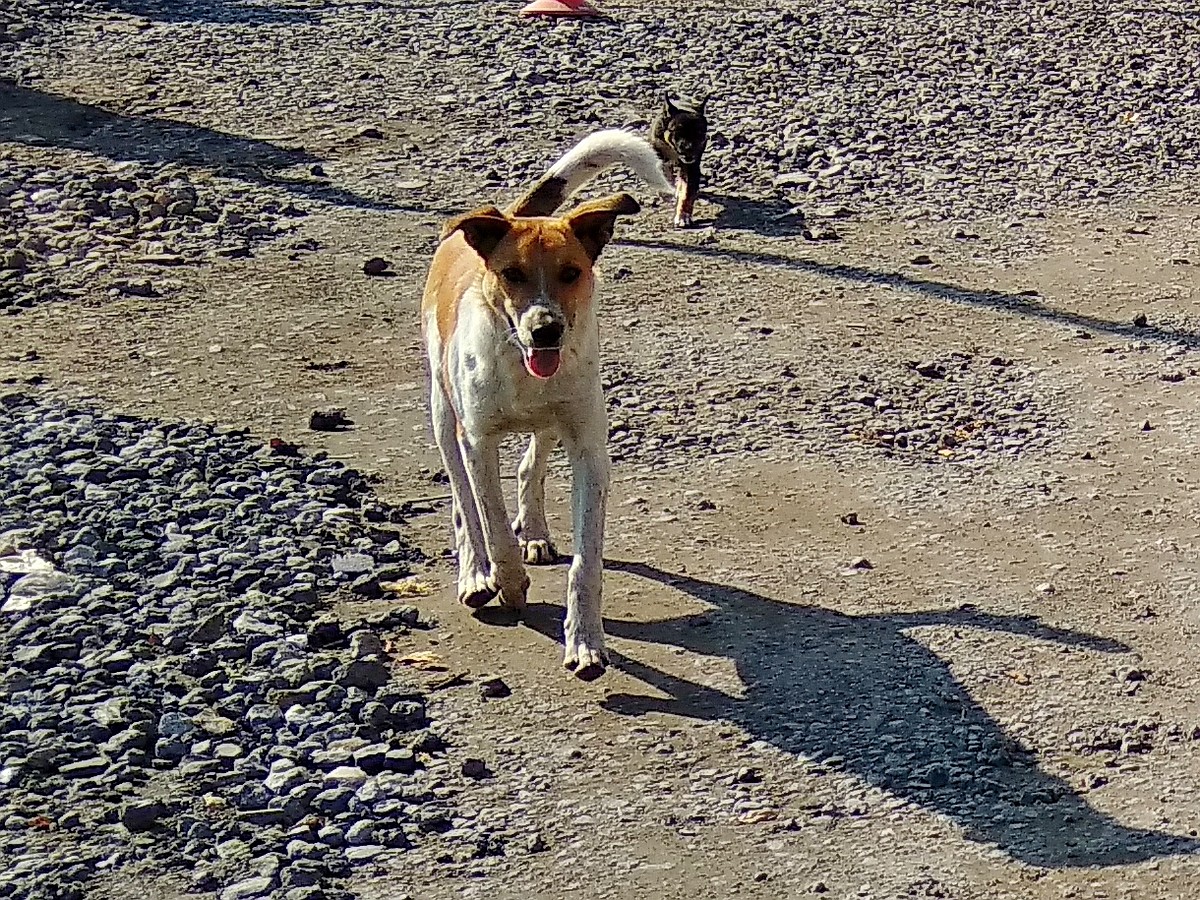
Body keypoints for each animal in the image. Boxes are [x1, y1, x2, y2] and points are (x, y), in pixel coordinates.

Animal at [420, 132, 676, 681]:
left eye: (571, 272)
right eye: (512, 274)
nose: (546, 330)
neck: (521, 366)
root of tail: (507, 213)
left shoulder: (589, 451)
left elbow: (586, 562)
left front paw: (585, 643)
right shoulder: (478, 442)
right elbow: (491, 521)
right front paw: (508, 582)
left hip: (553, 423)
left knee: (530, 463)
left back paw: (534, 531)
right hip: (443, 411)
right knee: (462, 501)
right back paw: (475, 572)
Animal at [652, 93, 705, 229]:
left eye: (700, 133)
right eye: (678, 132)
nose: (689, 148)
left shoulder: (691, 167)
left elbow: (686, 193)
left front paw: (682, 216)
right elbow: (664, 173)